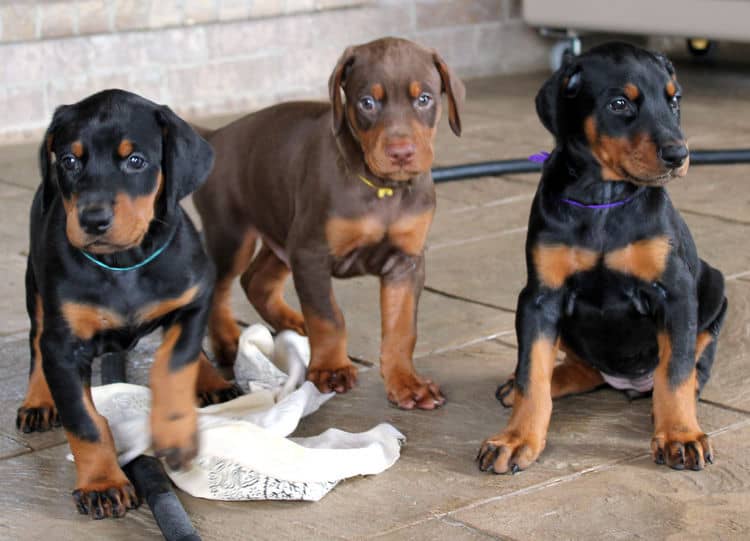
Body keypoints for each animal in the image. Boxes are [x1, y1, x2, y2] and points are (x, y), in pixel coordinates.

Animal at [16, 89, 241, 520]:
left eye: (135, 160)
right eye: (69, 161)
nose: (93, 219)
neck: (123, 264)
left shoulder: (194, 298)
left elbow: (175, 361)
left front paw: (174, 433)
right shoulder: (64, 346)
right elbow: (84, 420)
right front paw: (102, 484)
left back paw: (212, 380)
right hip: (35, 288)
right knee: (36, 342)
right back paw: (38, 400)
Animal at [194, 38, 464, 408]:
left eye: (424, 98)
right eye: (367, 102)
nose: (401, 153)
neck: (382, 189)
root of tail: (216, 135)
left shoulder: (405, 262)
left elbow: (402, 326)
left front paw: (407, 382)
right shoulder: (311, 253)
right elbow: (328, 316)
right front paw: (331, 370)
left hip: (283, 231)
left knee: (256, 280)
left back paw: (293, 322)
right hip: (233, 235)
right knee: (220, 289)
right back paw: (226, 342)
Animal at [482, 42, 728, 472]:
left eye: (674, 100)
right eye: (619, 103)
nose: (678, 154)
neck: (603, 197)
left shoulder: (676, 292)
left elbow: (675, 371)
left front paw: (680, 435)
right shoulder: (539, 298)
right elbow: (532, 372)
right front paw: (515, 438)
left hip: (713, 288)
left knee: (692, 362)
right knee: (580, 371)